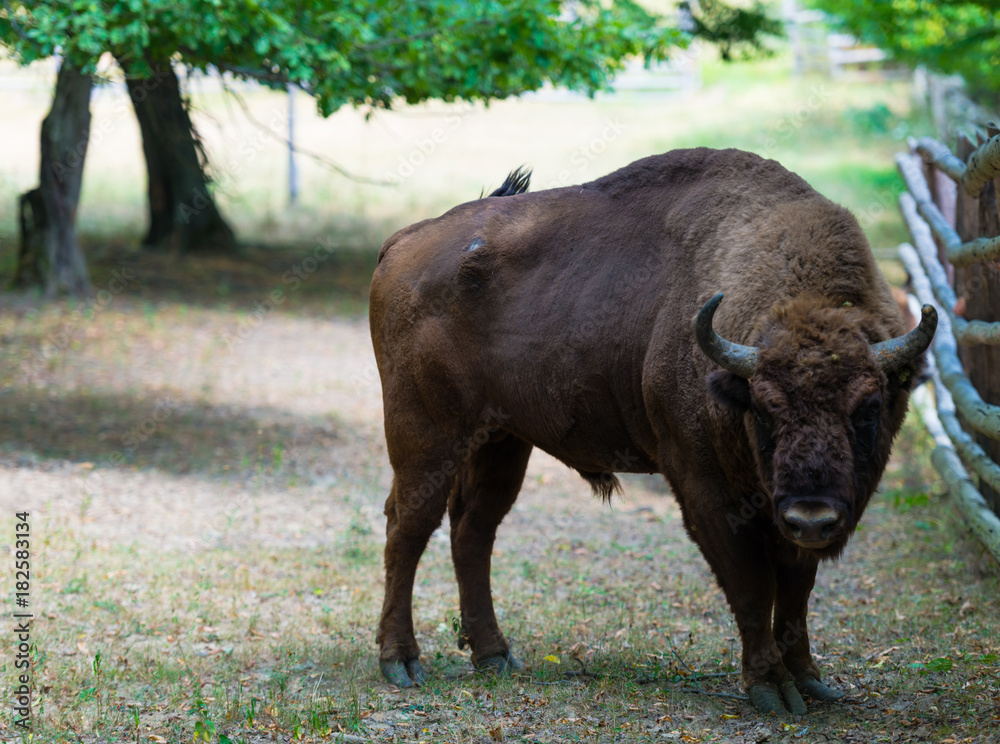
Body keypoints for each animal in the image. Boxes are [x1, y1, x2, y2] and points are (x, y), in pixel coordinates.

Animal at [370, 150, 936, 716]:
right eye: (763, 408)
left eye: (868, 407)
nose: (812, 514)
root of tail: (405, 241)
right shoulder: (706, 491)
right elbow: (753, 586)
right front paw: (771, 688)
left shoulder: (789, 521)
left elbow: (796, 593)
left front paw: (810, 681)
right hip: (426, 435)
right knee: (408, 527)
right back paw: (401, 663)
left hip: (501, 439)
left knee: (473, 530)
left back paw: (494, 656)